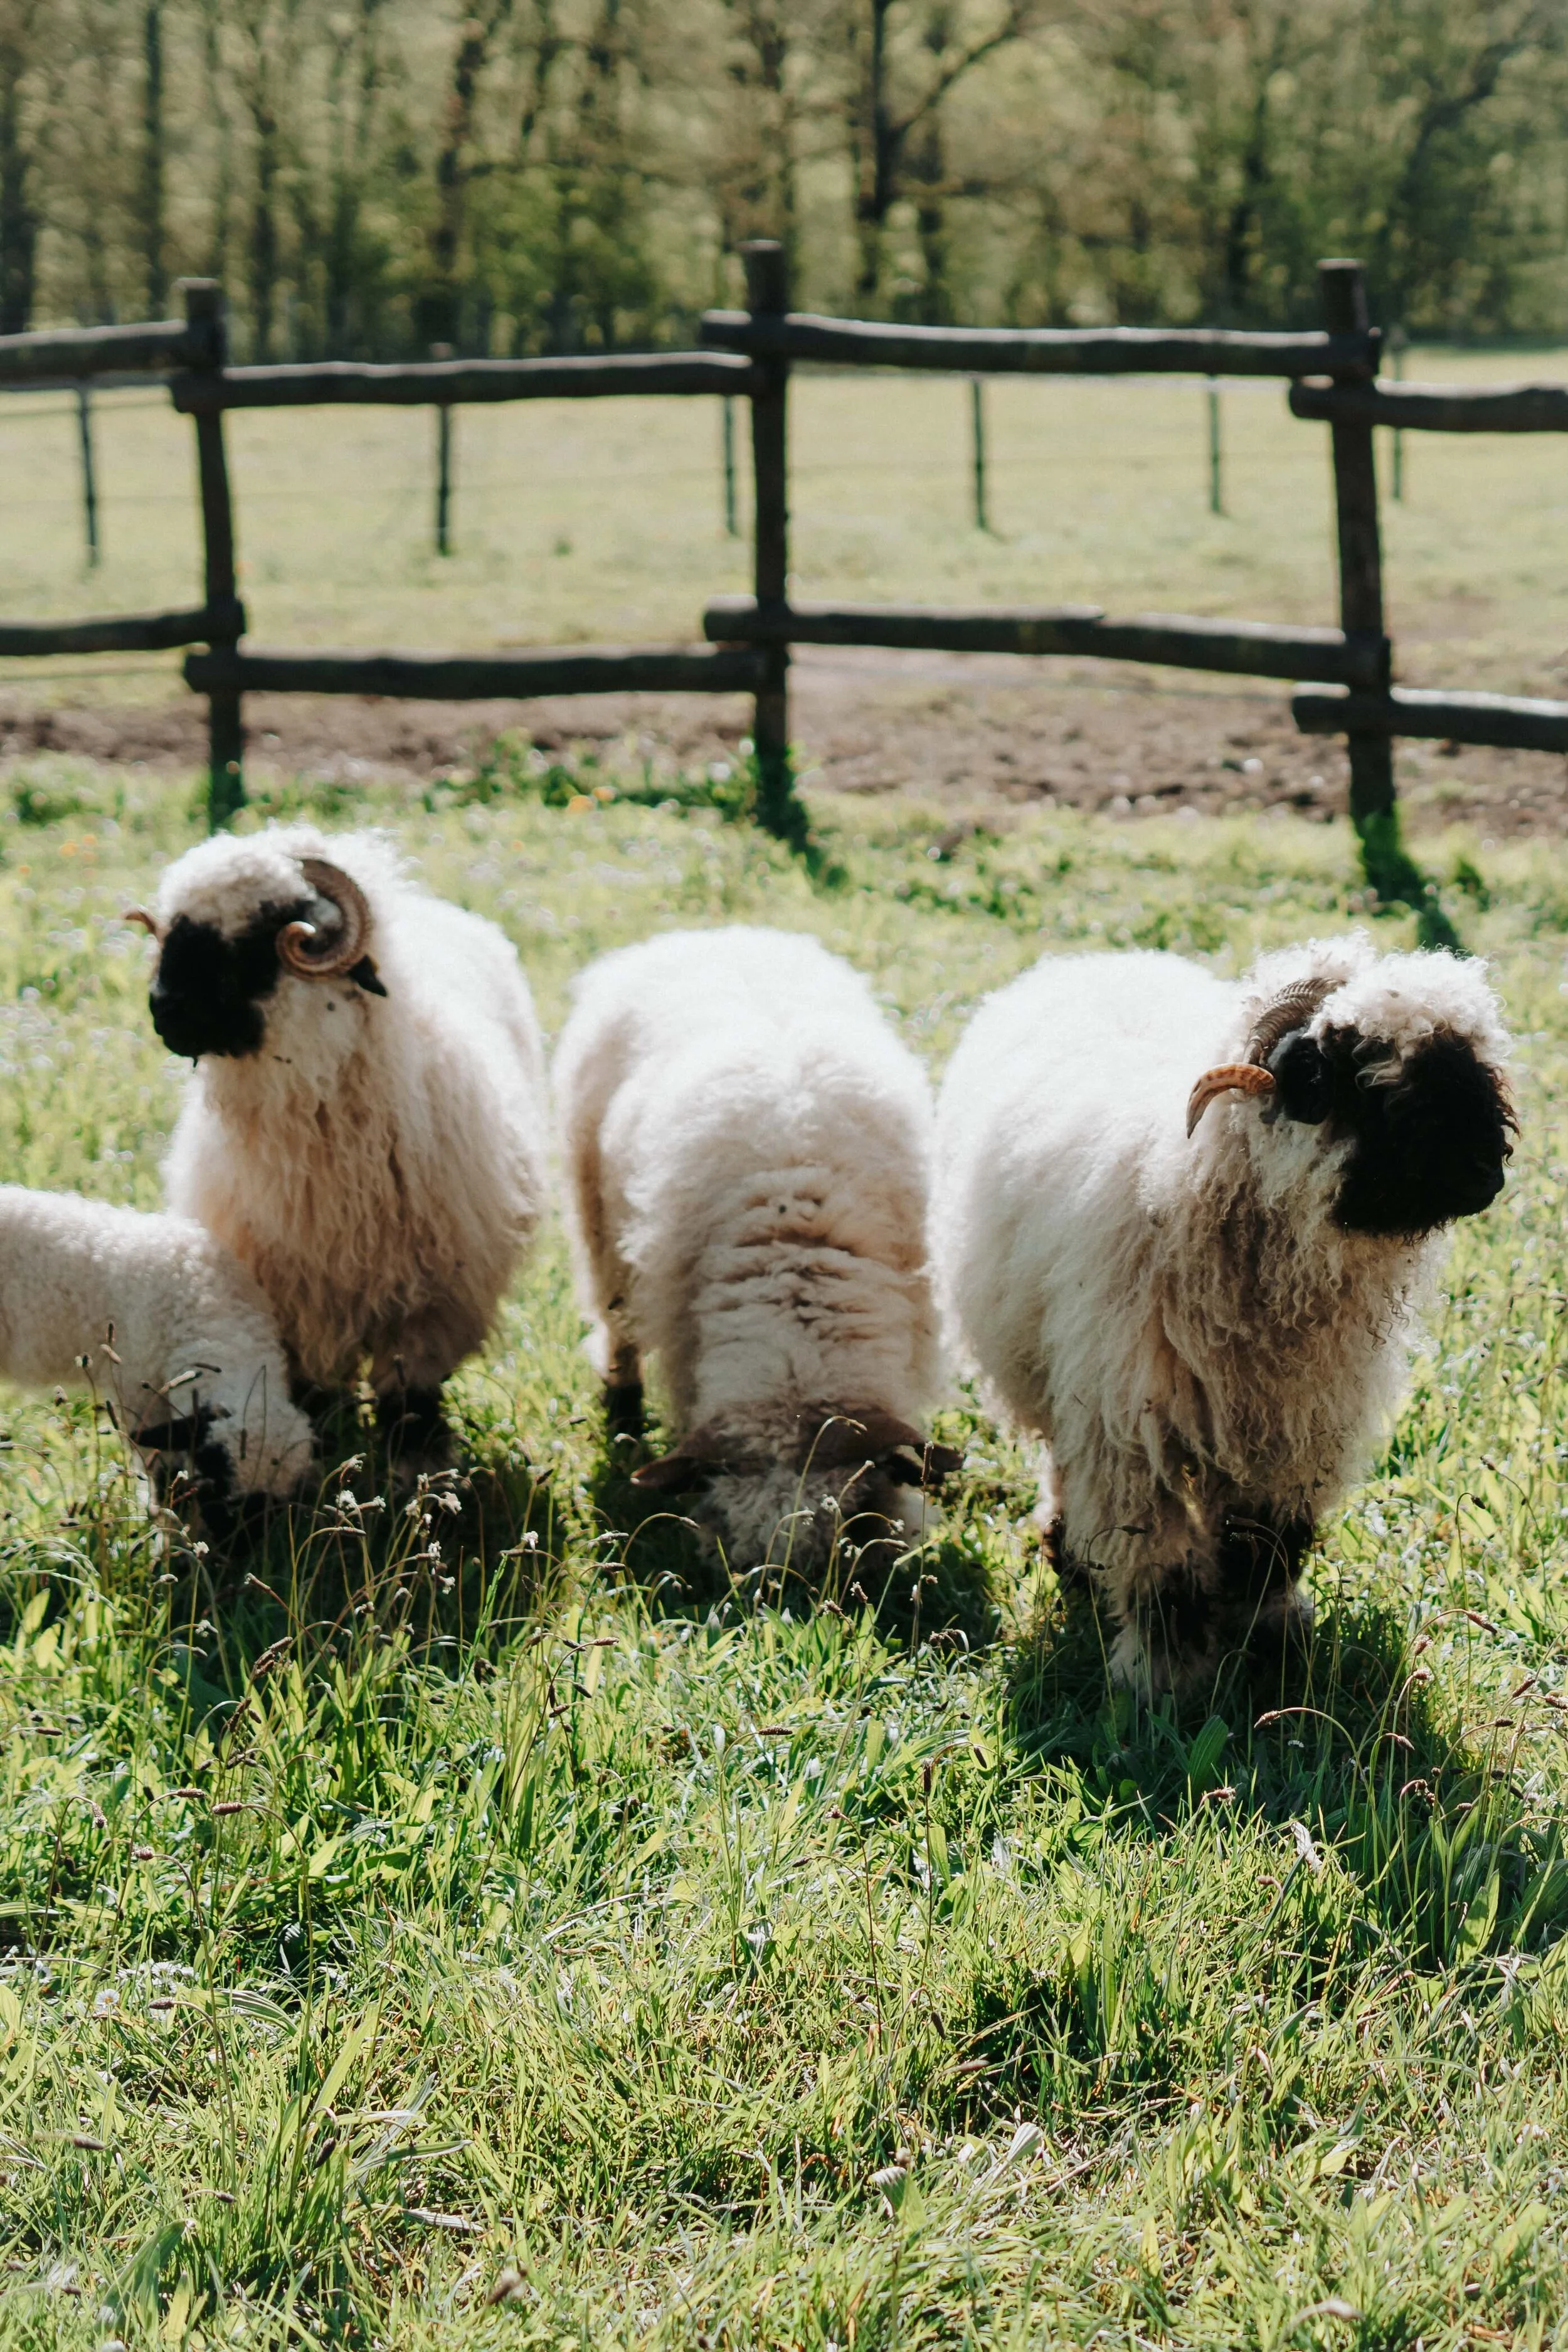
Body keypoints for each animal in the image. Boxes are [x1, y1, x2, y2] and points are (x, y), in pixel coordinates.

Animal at [127, 825, 548, 1460]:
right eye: (174, 931)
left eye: (261, 935)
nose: (163, 1009)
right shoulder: (288, 1295)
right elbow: (311, 1387)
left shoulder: (434, 1302)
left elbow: (410, 1391)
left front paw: (417, 1461)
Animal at [932, 934, 1514, 1695]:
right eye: (1352, 1073)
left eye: (1473, 1061)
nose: (1487, 1171)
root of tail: (1096, 959)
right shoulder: (1132, 1425)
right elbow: (1158, 1563)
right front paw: (1163, 1677)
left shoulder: (1298, 1426)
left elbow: (1267, 1543)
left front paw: (1268, 1635)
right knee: (1063, 1459)